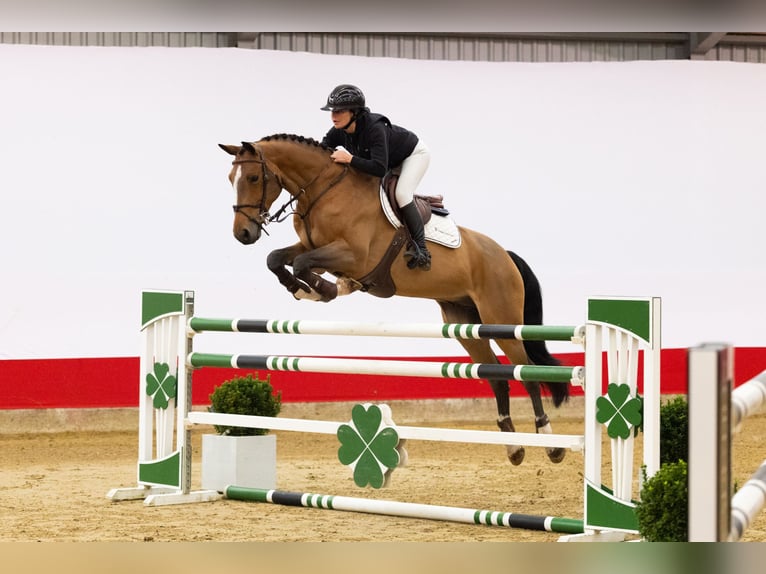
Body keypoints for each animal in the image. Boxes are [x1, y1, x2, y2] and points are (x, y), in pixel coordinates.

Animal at [218, 133, 570, 466]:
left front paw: (324, 289)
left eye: (253, 178)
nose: (243, 234)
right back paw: (513, 447)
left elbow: (304, 264)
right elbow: (277, 259)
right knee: (497, 375)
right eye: (230, 179)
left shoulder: (353, 255)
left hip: (501, 318)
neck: (323, 190)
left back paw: (551, 444)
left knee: (526, 373)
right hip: (463, 322)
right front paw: (306, 288)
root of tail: (504, 255)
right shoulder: (312, 247)